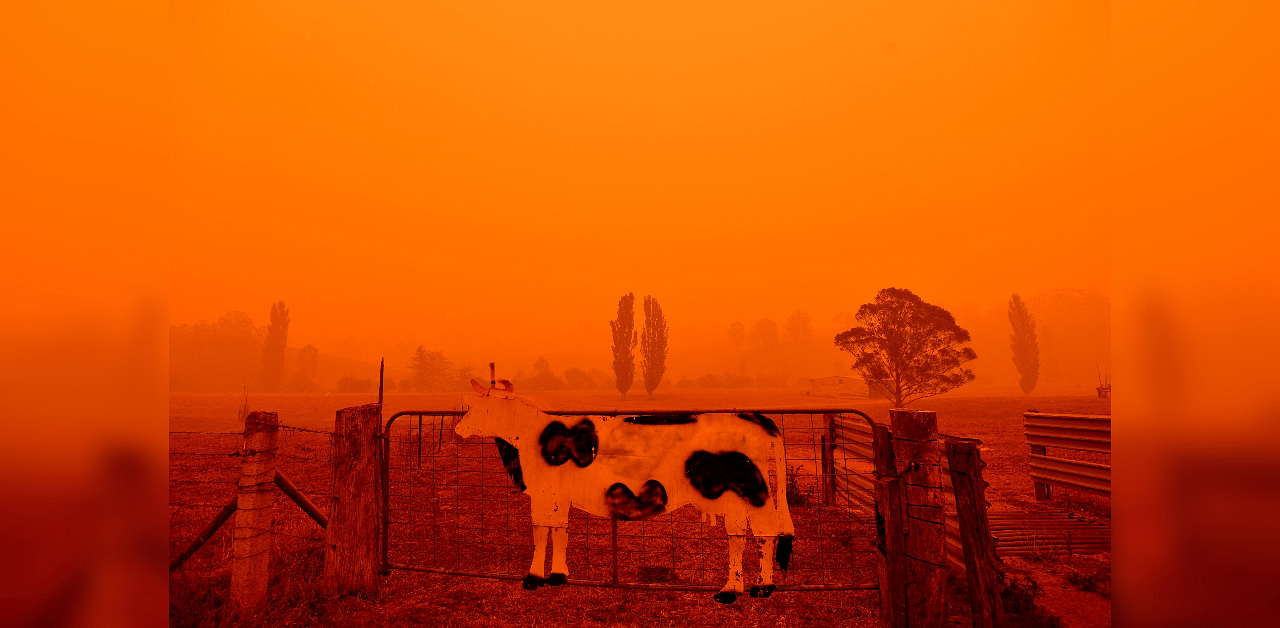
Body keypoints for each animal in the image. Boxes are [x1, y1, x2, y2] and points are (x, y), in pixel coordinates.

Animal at [450, 378, 788, 603]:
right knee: (742, 533)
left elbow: (541, 531)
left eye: (478, 406)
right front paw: (558, 575)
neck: (535, 436)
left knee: (762, 530)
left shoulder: (545, 492)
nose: (457, 429)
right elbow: (560, 530)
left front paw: (532, 578)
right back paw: (739, 588)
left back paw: (755, 588)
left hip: (752, 491)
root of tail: (756, 417)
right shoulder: (559, 494)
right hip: (738, 496)